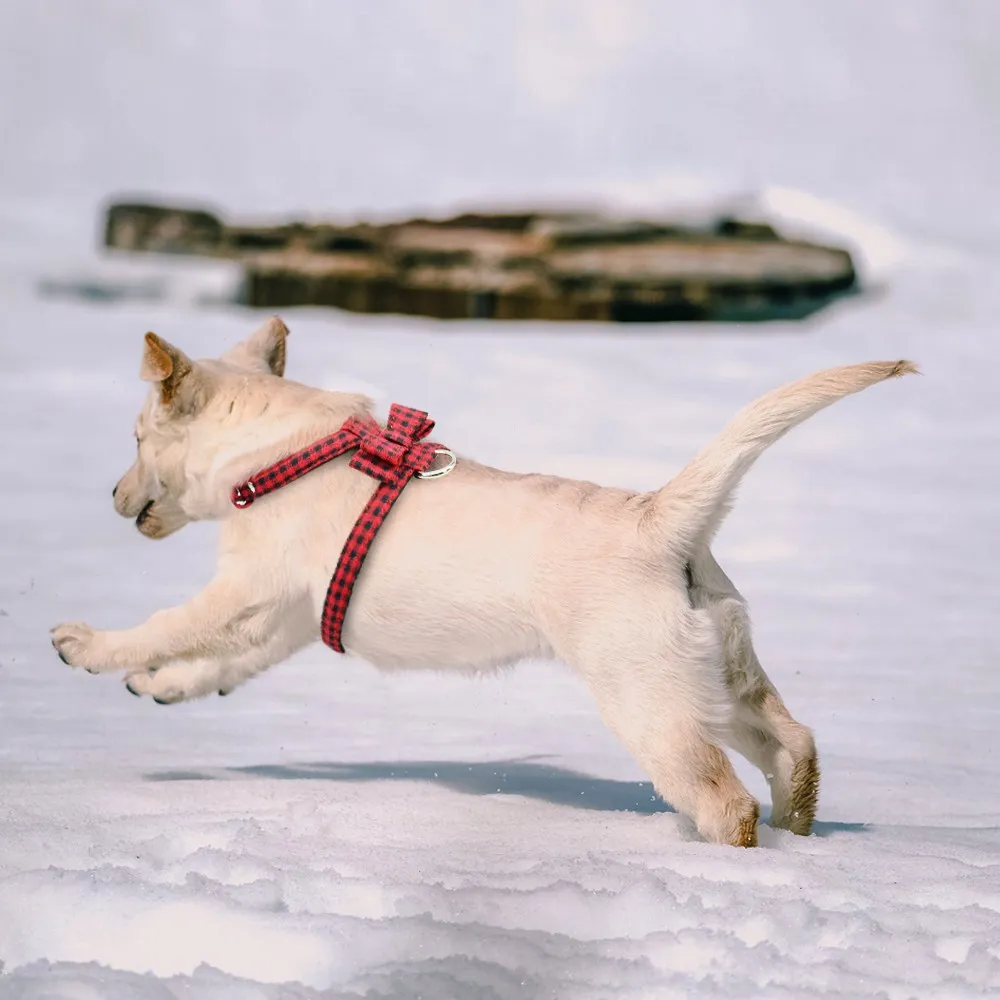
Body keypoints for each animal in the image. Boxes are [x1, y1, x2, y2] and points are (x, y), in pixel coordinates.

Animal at [52, 318, 916, 844]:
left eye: (137, 437)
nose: (113, 496)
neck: (279, 450)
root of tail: (663, 521)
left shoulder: (247, 587)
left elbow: (168, 623)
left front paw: (88, 645)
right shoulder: (289, 615)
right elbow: (227, 659)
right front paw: (163, 686)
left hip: (649, 699)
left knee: (723, 798)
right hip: (720, 673)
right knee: (795, 743)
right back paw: (799, 829)